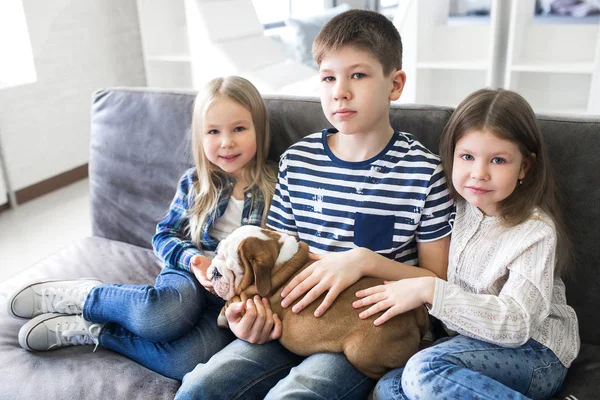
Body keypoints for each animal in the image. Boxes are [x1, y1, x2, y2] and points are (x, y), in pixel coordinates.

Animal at [209, 225, 428, 378]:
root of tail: (413, 315)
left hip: (360, 351)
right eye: (217, 253)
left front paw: (224, 314)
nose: (214, 271)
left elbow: (233, 299)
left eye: (233, 271)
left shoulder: (247, 295)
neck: (279, 260)